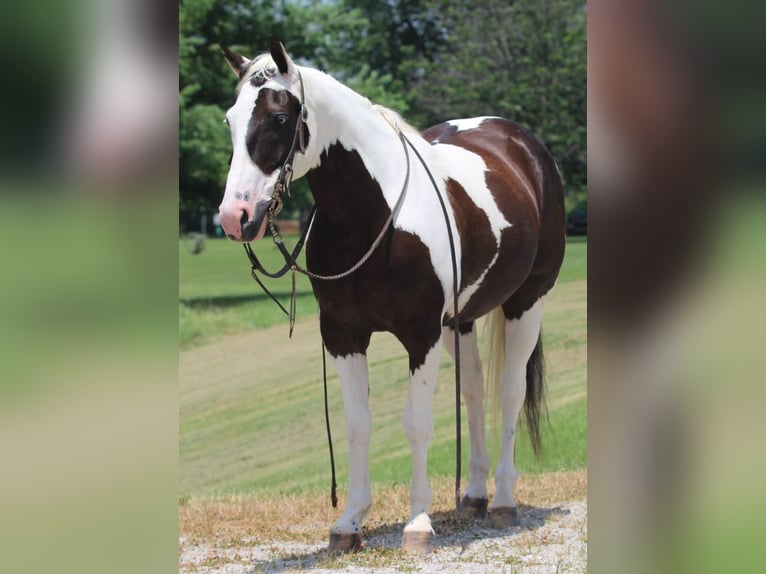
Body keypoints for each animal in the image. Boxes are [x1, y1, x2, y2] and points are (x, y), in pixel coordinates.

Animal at [217, 39, 565, 554]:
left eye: (279, 118)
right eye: (230, 119)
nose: (234, 216)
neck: (376, 218)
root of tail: (524, 145)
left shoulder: (421, 334)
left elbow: (417, 422)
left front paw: (418, 522)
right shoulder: (343, 334)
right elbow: (357, 423)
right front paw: (349, 522)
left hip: (528, 301)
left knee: (509, 391)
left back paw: (503, 499)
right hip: (460, 321)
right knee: (474, 390)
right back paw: (474, 495)